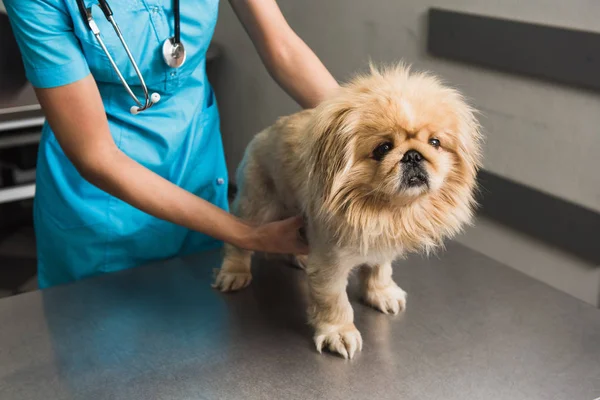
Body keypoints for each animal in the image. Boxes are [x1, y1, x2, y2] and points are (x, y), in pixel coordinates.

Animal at [211, 63, 482, 360]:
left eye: (435, 143)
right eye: (383, 148)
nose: (412, 155)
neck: (383, 208)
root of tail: (262, 135)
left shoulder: (381, 240)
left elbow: (380, 269)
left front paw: (381, 294)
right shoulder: (329, 265)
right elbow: (334, 301)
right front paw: (338, 333)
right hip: (257, 205)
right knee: (240, 241)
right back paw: (235, 272)